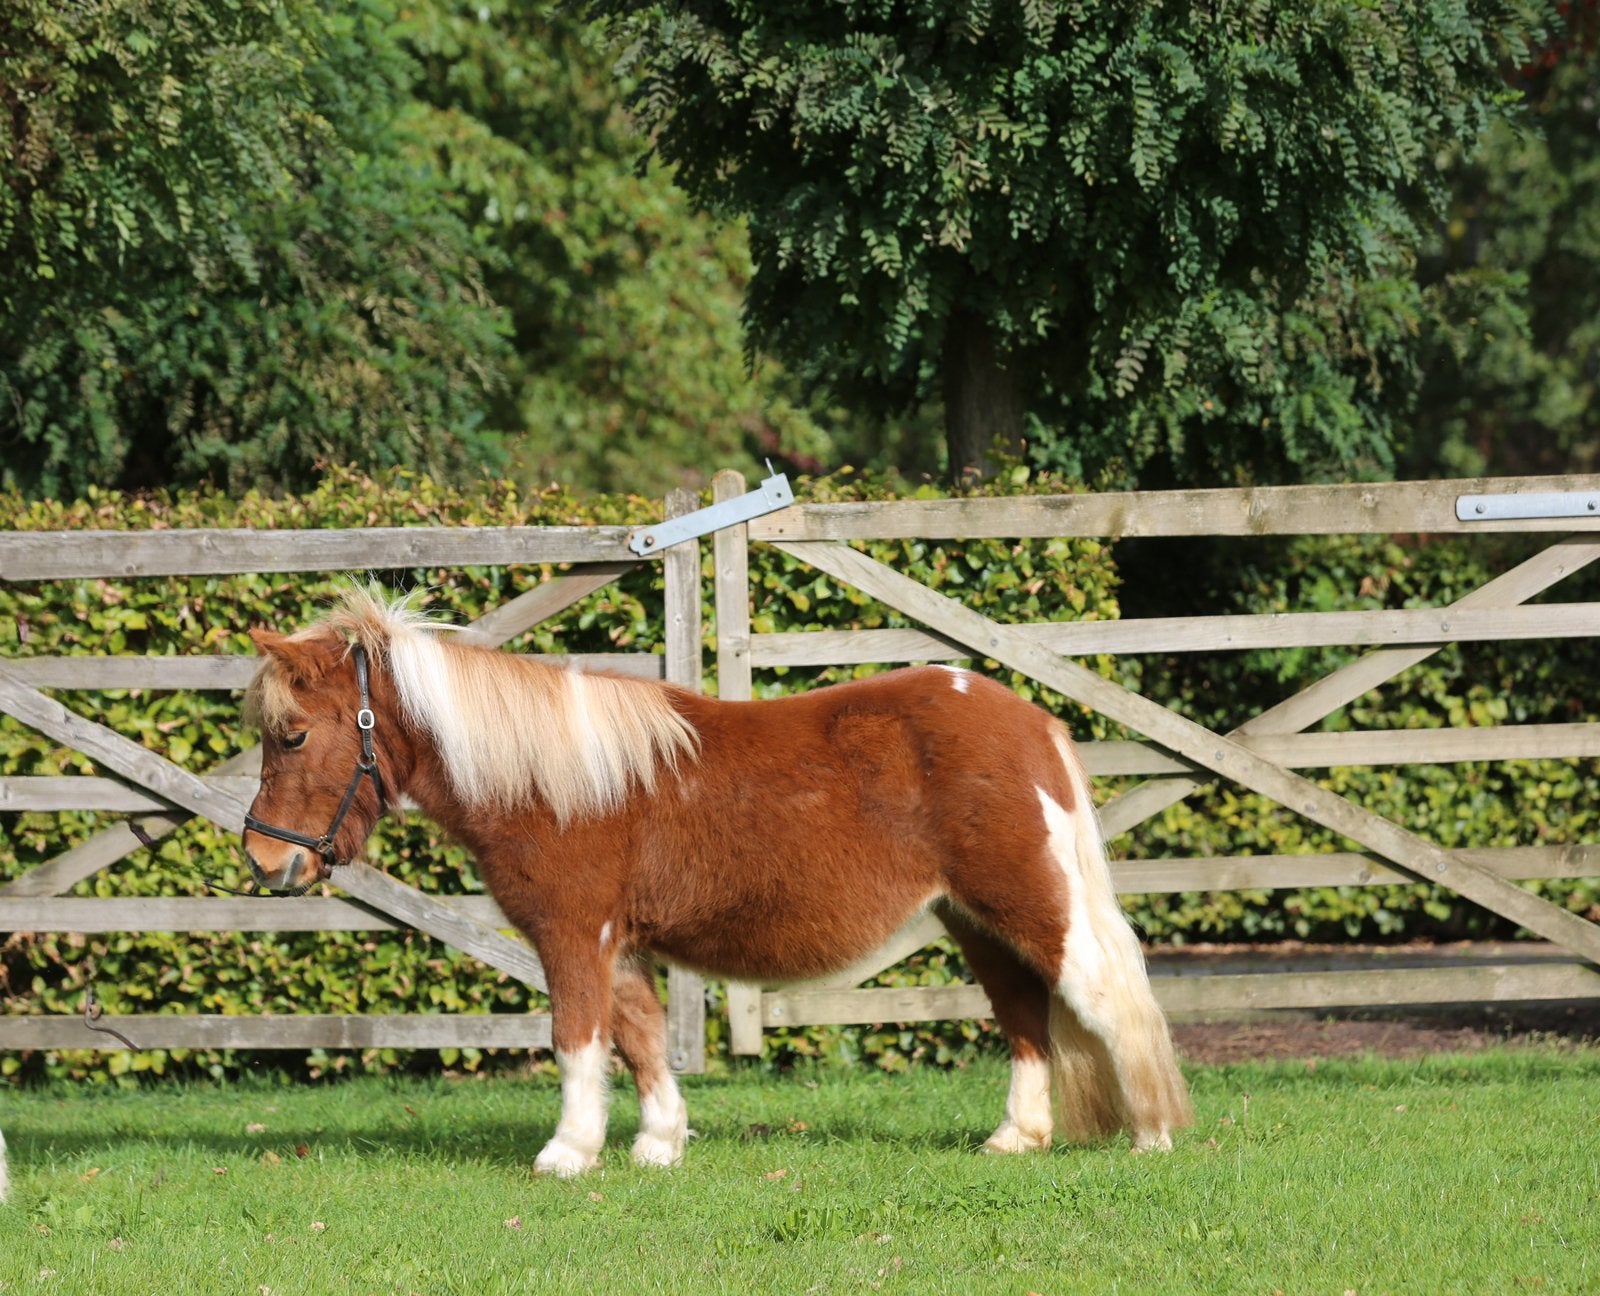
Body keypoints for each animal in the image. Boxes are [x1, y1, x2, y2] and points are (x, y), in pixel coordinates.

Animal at [241, 587, 1191, 1175]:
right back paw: (1016, 1138)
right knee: (1025, 1013)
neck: (554, 780)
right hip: (974, 919)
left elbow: (578, 1040)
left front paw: (568, 1153)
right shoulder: (619, 943)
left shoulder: (571, 934)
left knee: (1104, 994)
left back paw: (1152, 1136)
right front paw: (659, 1145)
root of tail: (1029, 720)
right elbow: (640, 1037)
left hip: (1029, 904)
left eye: (293, 735)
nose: (264, 860)